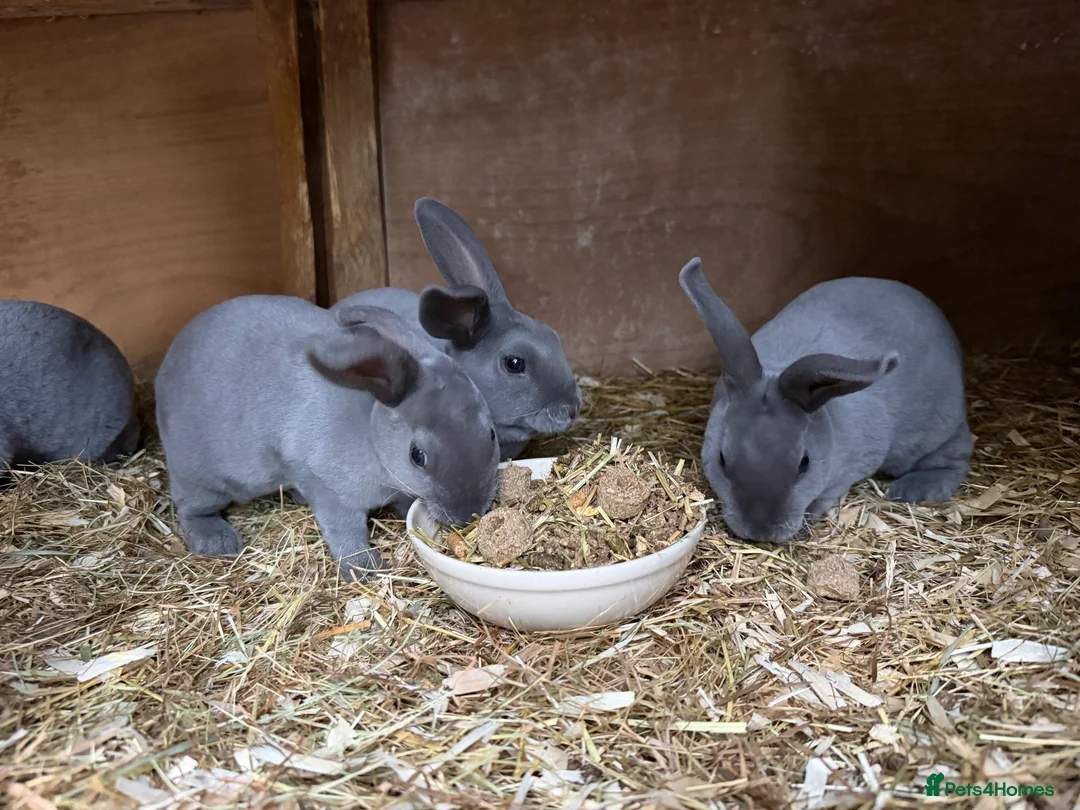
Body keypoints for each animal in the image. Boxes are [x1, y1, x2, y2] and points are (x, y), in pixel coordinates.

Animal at [155, 295, 500, 579]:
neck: (372, 437)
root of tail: (167, 365)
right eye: (417, 456)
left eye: (492, 434)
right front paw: (365, 569)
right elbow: (346, 533)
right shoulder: (330, 491)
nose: (469, 513)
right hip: (200, 478)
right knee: (191, 509)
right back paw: (218, 540)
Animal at [678, 258, 973, 544]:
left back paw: (913, 490)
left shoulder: (850, 469)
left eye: (804, 464)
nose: (759, 532)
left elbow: (826, 496)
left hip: (933, 433)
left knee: (955, 457)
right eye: (721, 459)